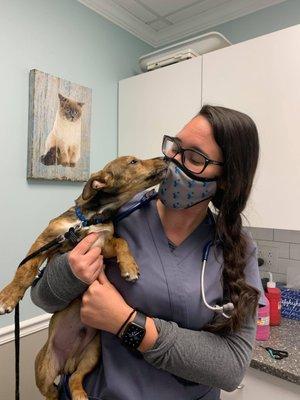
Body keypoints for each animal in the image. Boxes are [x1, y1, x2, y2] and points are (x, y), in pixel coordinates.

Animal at [0, 155, 166, 400]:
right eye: (133, 162)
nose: (165, 157)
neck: (91, 218)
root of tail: (68, 362)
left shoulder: (103, 244)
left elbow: (122, 241)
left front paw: (129, 266)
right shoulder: (46, 241)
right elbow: (26, 268)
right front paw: (9, 296)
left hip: (92, 354)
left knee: (75, 380)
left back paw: (79, 394)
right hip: (43, 366)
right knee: (50, 391)